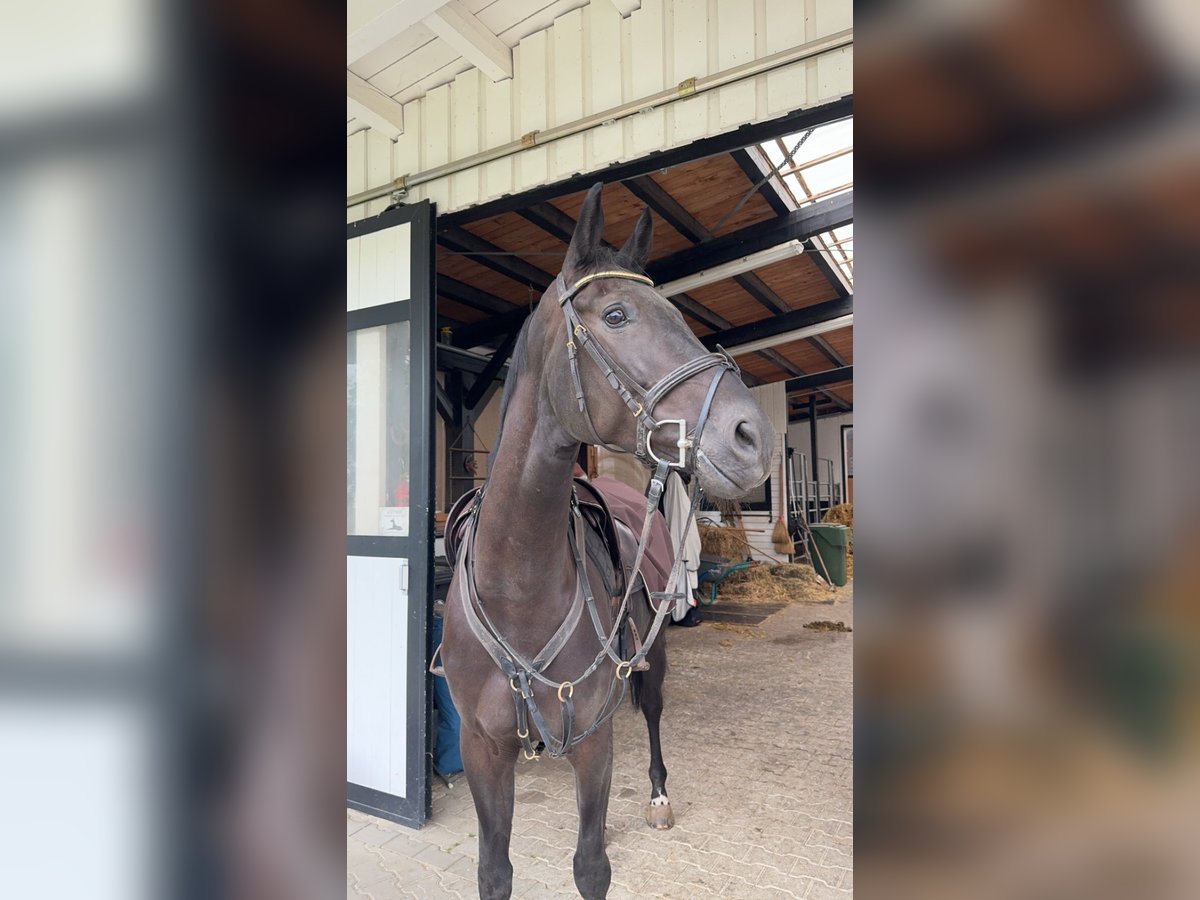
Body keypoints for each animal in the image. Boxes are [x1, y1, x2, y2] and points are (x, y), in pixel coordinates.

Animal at [444, 183, 777, 900]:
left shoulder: (594, 745)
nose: (753, 437)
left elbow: (591, 866)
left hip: (651, 658)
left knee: (650, 713)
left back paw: (657, 795)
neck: (518, 582)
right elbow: (493, 871)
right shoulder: (483, 751)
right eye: (617, 314)